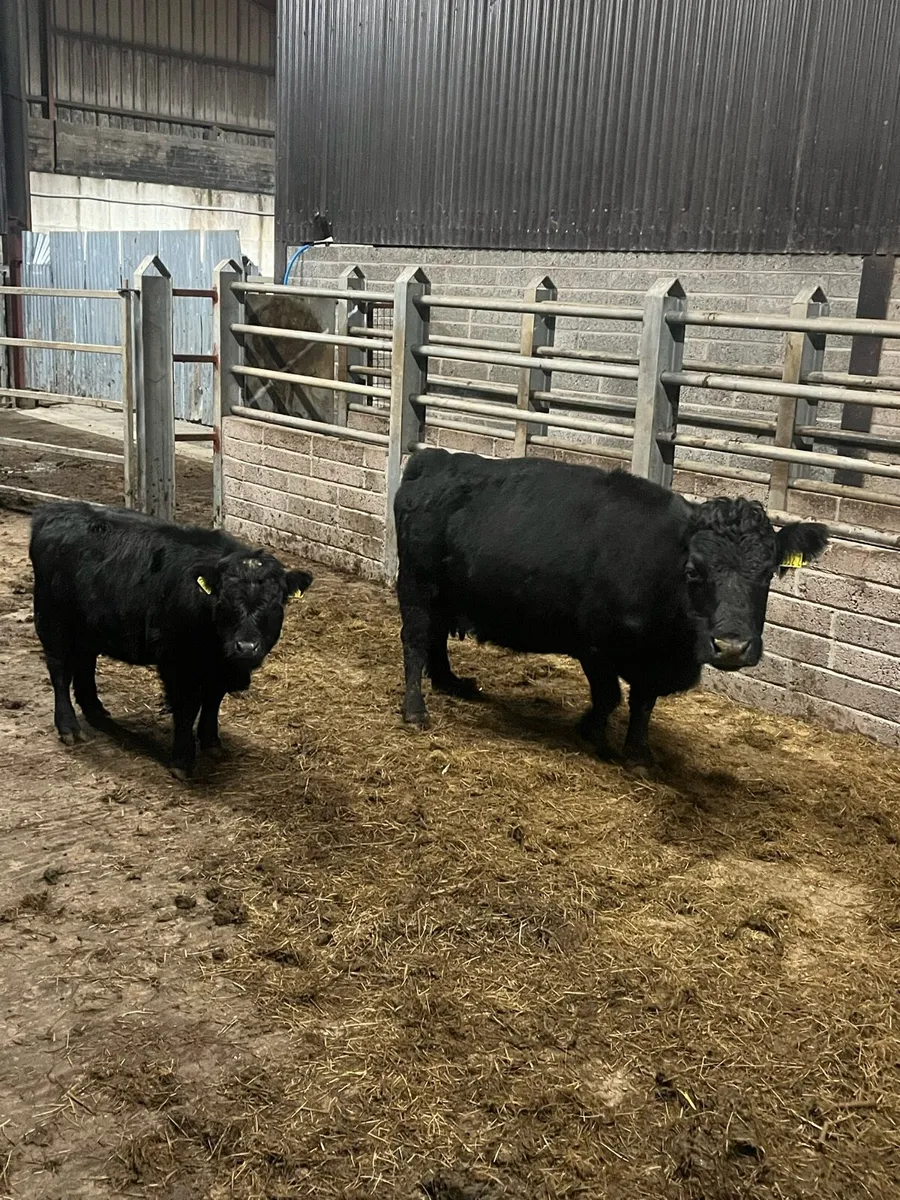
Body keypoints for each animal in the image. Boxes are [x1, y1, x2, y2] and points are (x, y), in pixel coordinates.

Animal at [30, 501, 313, 779]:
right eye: (223, 601)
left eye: (276, 604)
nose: (245, 647)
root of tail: (56, 510)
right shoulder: (177, 662)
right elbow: (187, 708)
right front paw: (182, 760)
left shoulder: (217, 668)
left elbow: (213, 700)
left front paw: (211, 742)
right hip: (52, 620)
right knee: (59, 671)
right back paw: (69, 727)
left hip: (87, 628)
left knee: (85, 663)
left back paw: (96, 711)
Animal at [394, 449, 828, 766]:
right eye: (692, 571)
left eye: (768, 573)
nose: (733, 647)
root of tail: (434, 459)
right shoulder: (595, 645)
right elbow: (610, 697)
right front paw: (592, 733)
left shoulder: (651, 661)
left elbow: (643, 704)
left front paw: (638, 752)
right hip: (416, 586)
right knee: (415, 641)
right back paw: (415, 709)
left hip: (444, 593)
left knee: (436, 637)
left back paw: (450, 683)